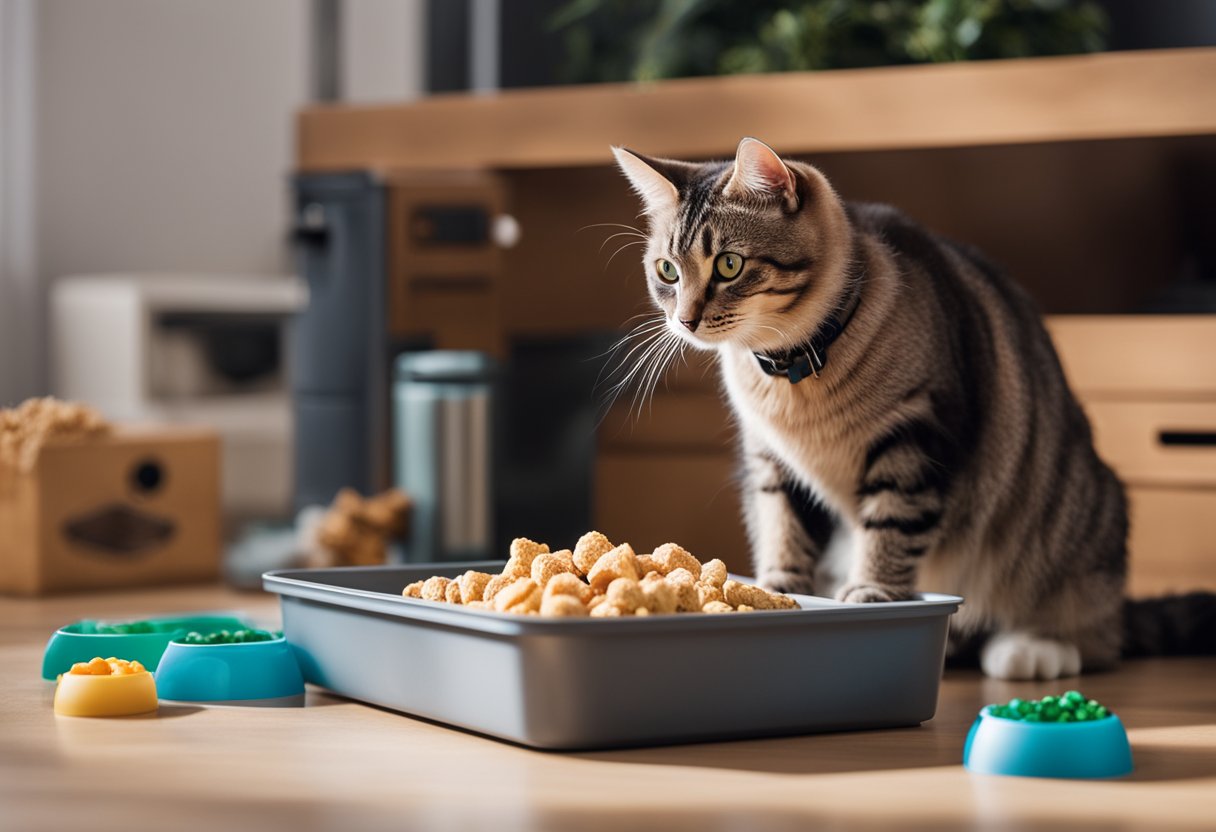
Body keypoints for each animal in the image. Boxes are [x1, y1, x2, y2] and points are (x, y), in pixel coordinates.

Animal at [612, 138, 1211, 681]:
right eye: (667, 271)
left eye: (730, 265)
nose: (685, 320)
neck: (792, 373)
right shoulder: (771, 462)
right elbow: (784, 530)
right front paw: (773, 592)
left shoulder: (916, 437)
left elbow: (891, 525)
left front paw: (871, 592)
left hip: (1073, 529)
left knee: (1092, 634)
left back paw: (1032, 650)